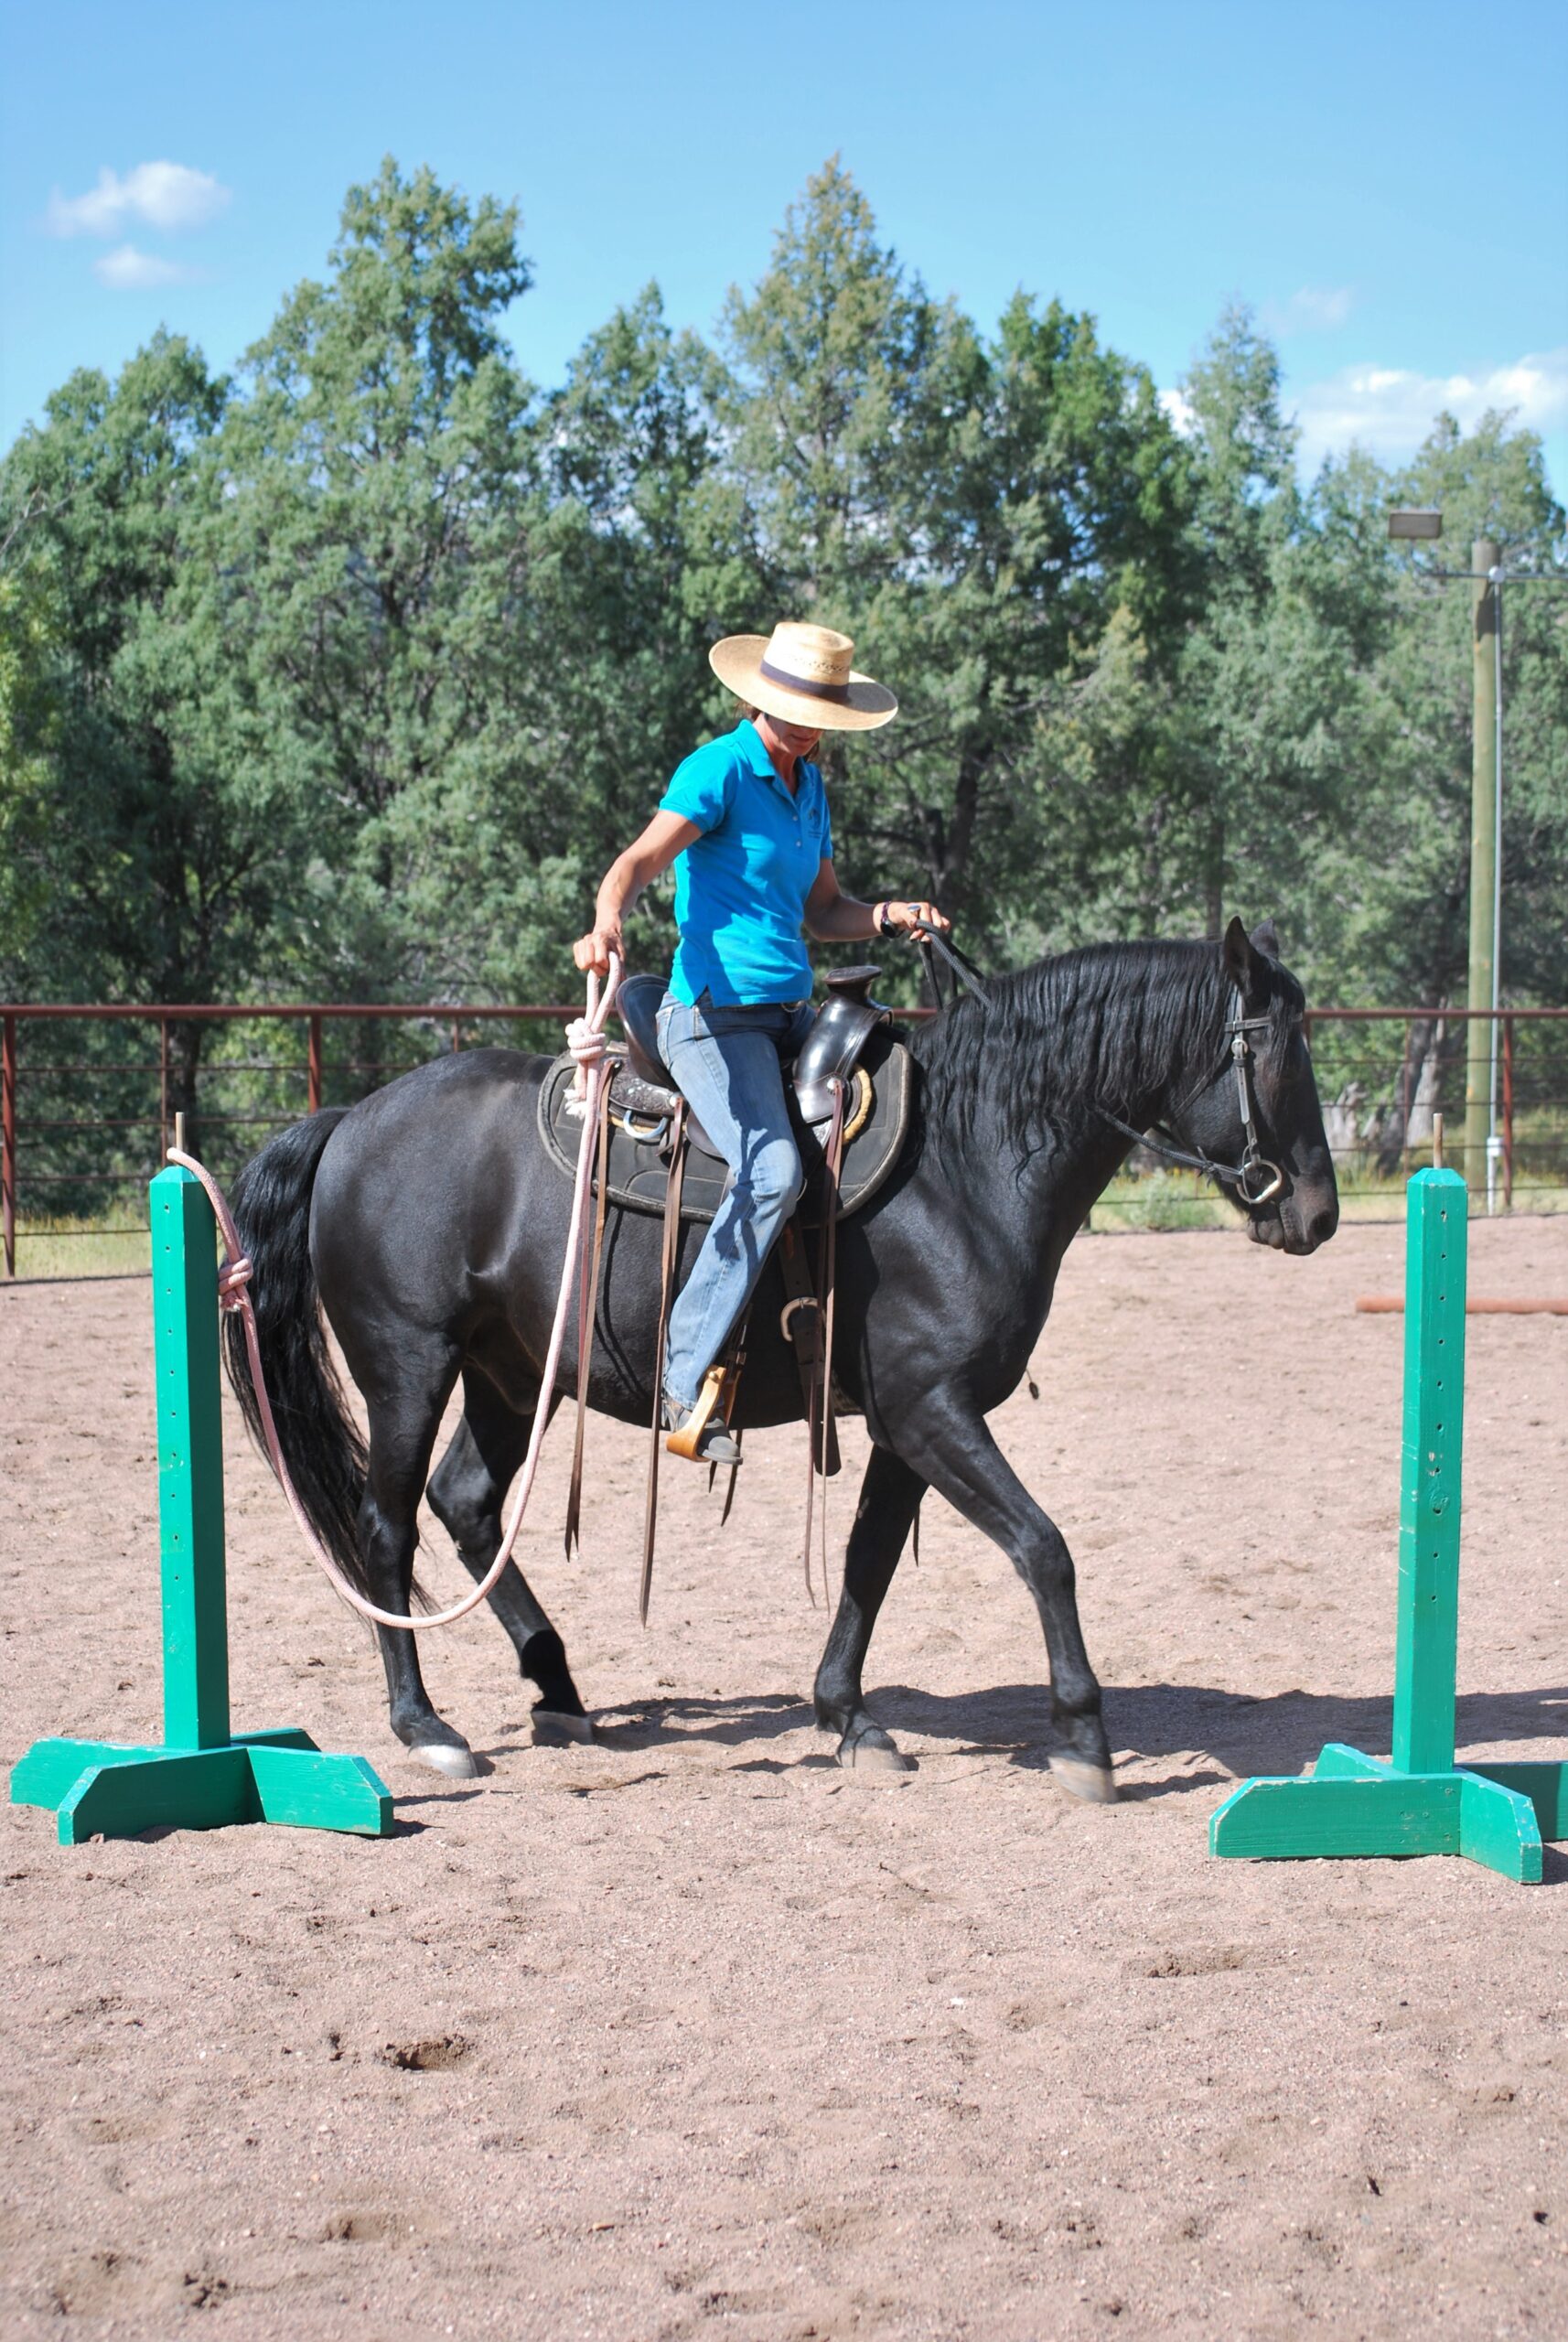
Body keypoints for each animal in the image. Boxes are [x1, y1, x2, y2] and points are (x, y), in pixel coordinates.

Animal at [227, 922, 1348, 1799]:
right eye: (1277, 1051)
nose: (1318, 1214)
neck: (966, 1159)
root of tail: (353, 1120)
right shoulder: (933, 1410)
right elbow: (1044, 1548)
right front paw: (1082, 1735)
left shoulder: (905, 1423)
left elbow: (868, 1562)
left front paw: (847, 1716)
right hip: (408, 1368)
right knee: (386, 1529)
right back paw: (426, 1726)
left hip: (511, 1373)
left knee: (465, 1504)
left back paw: (559, 1688)